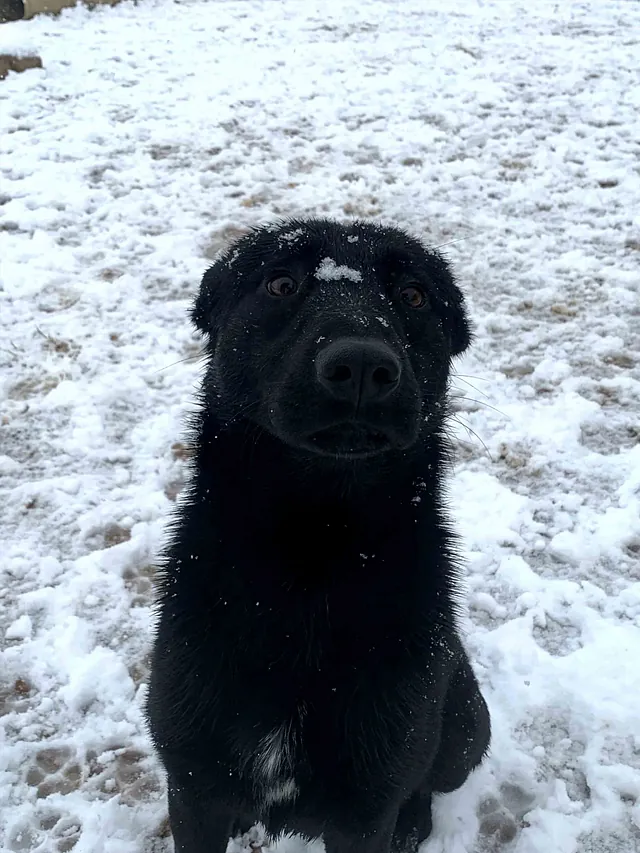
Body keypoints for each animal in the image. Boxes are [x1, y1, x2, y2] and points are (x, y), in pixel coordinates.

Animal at [148, 218, 490, 852]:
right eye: (281, 283)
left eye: (414, 295)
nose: (361, 366)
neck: (315, 546)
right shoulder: (192, 789)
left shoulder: (365, 813)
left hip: (465, 730)